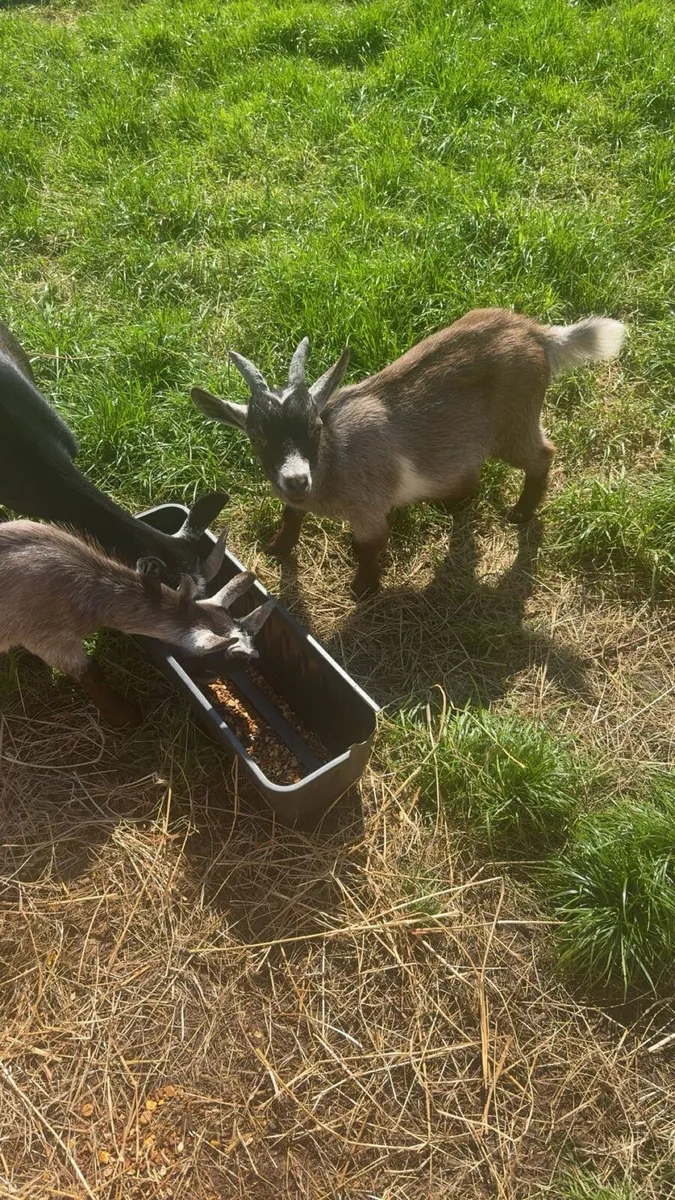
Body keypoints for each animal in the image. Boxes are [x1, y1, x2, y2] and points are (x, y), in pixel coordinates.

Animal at [192, 308, 626, 594]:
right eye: (257, 437)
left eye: (315, 427)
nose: (297, 480)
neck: (332, 459)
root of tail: (535, 333)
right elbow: (290, 515)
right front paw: (278, 548)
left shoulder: (368, 507)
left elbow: (367, 546)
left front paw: (364, 589)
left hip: (515, 423)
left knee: (544, 453)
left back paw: (521, 513)